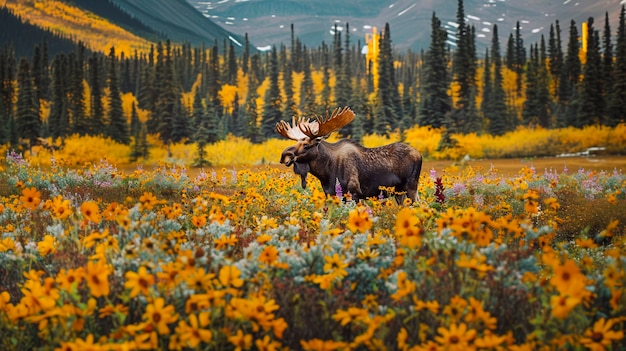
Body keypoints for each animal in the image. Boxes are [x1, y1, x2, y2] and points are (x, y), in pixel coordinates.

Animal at [276, 106, 422, 202]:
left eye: (306, 145)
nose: (284, 156)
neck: (326, 173)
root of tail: (420, 155)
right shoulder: (331, 194)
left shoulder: (354, 192)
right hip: (399, 191)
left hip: (411, 186)